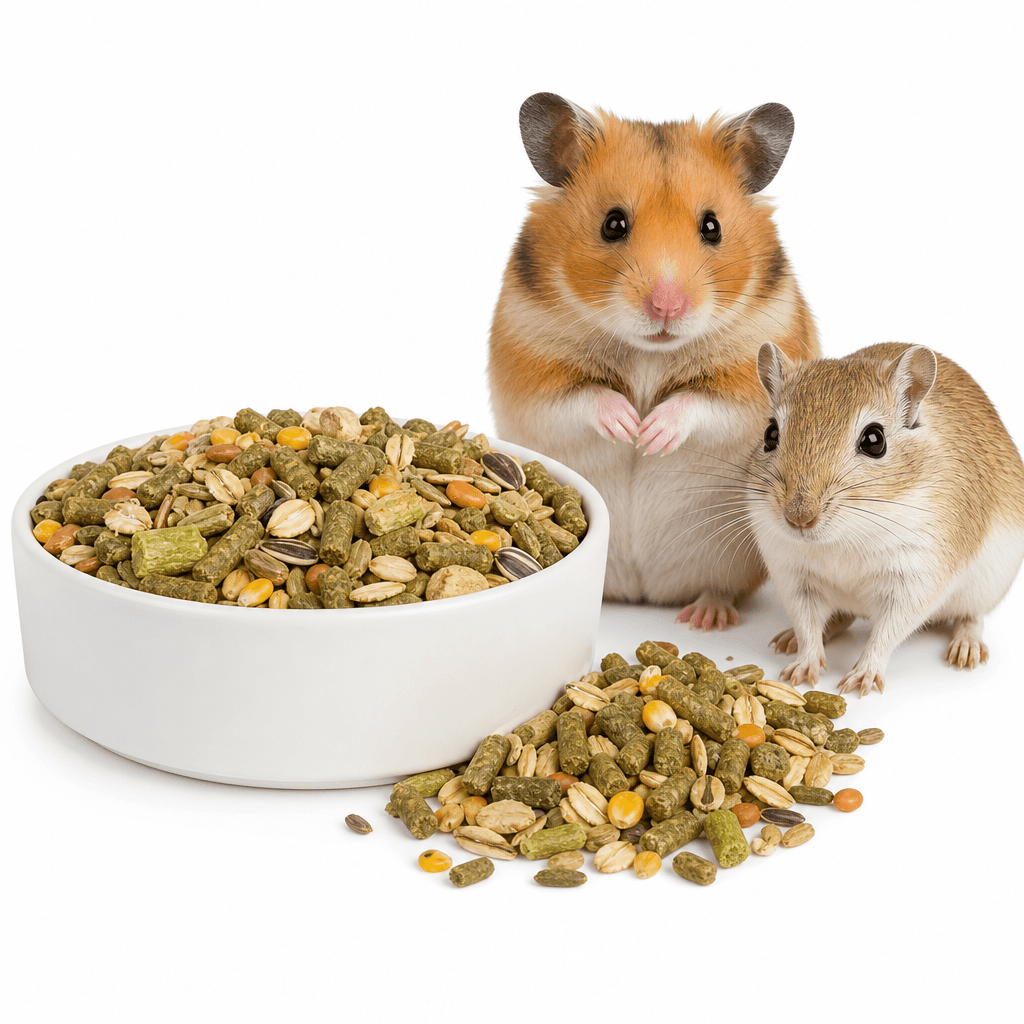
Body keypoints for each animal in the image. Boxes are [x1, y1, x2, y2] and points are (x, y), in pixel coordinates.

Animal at [488, 93, 819, 628]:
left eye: (712, 226)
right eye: (613, 223)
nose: (666, 307)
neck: (649, 351)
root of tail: (648, 593)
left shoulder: (748, 382)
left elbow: (701, 404)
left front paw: (651, 436)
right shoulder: (531, 371)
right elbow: (584, 396)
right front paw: (629, 427)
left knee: (717, 589)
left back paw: (705, 617)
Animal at [746, 341, 1024, 696]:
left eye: (874, 440)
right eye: (770, 434)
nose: (799, 519)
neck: (848, 534)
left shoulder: (915, 580)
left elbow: (886, 633)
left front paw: (859, 681)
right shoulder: (792, 574)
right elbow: (807, 624)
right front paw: (801, 670)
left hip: (988, 585)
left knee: (972, 617)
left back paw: (966, 650)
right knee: (841, 619)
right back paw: (789, 639)